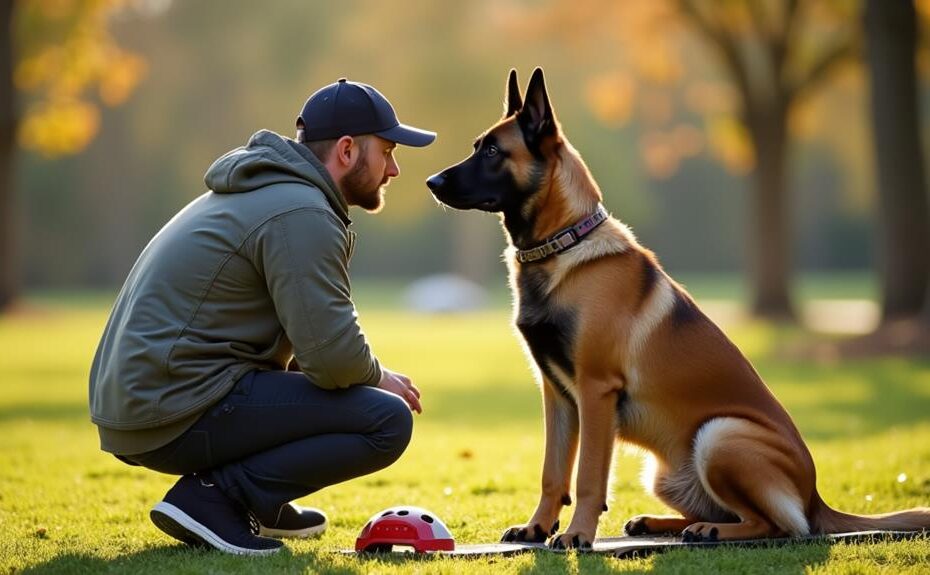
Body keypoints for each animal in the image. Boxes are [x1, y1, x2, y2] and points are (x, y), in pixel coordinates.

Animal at [426, 66, 928, 548]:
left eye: (493, 152)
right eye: (477, 147)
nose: (431, 181)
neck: (564, 244)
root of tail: (816, 498)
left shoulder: (595, 392)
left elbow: (588, 478)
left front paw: (576, 535)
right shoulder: (558, 396)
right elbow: (553, 473)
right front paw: (536, 528)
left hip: (720, 435)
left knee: (779, 526)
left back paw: (710, 532)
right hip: (665, 472)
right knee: (730, 514)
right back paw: (660, 523)